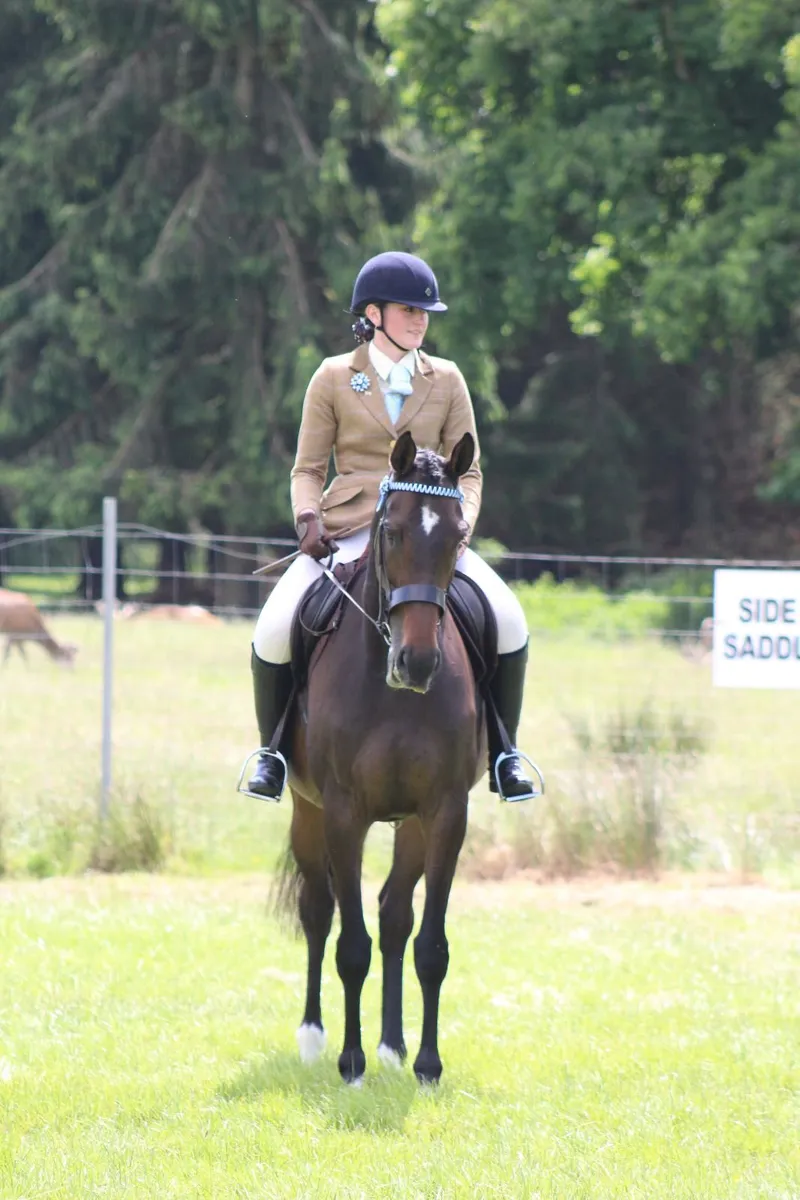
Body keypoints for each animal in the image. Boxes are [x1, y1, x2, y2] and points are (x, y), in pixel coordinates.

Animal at [275, 430, 486, 1085]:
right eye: (391, 532)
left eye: (457, 536)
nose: (417, 664)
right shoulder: (345, 813)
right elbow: (350, 945)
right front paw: (350, 1062)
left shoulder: (445, 812)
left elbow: (430, 945)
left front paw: (427, 1065)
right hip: (307, 810)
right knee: (317, 910)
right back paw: (313, 1036)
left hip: (411, 823)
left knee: (395, 916)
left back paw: (394, 1046)